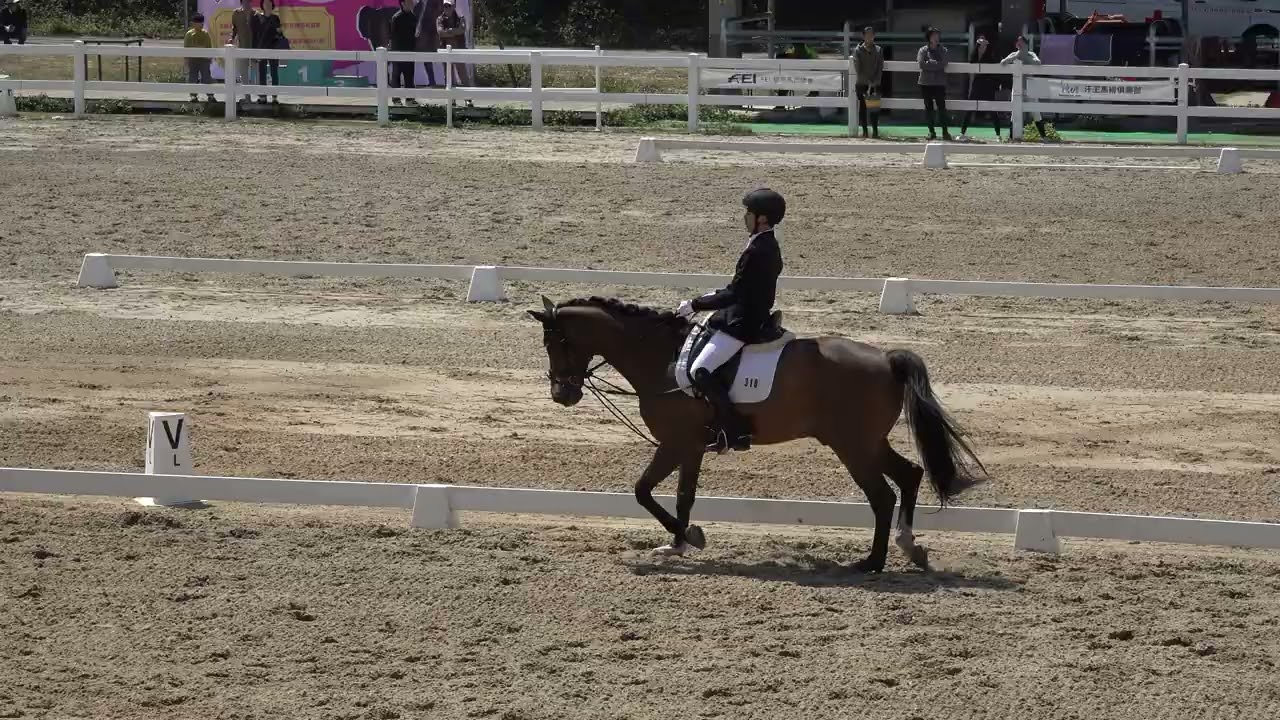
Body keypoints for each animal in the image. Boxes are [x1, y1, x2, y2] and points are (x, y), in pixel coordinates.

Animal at [526, 295, 987, 572]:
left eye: (556, 344)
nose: (562, 395)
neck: (661, 358)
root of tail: (887, 357)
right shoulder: (691, 447)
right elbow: (682, 495)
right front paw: (680, 542)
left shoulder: (676, 443)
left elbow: (643, 491)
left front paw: (686, 538)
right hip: (867, 442)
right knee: (909, 475)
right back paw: (909, 547)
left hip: (853, 446)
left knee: (883, 496)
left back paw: (870, 563)